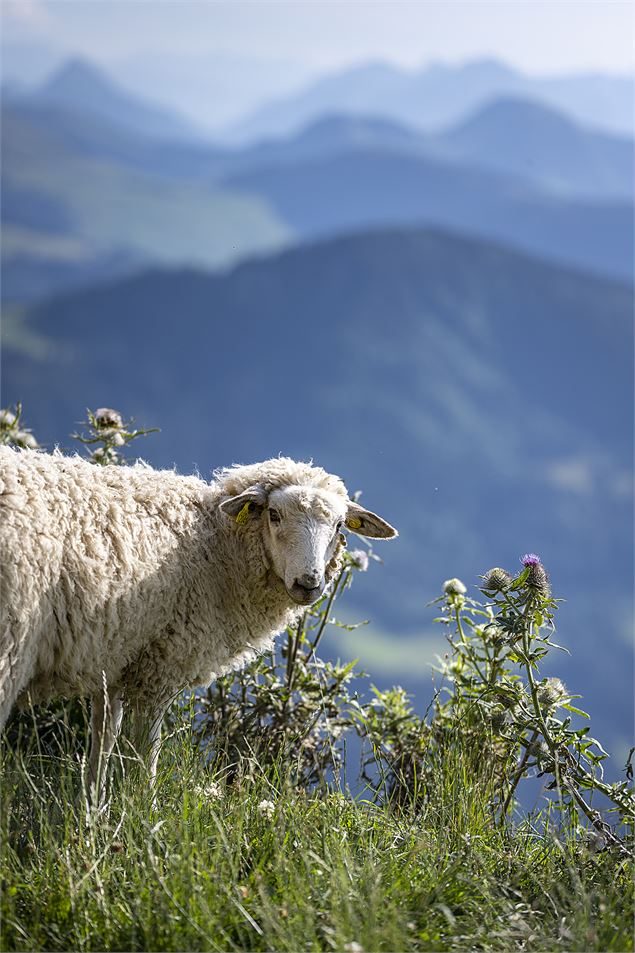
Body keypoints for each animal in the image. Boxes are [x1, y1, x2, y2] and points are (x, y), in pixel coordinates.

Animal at [0, 447, 397, 800]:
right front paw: (142, 815)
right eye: (274, 515)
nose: (308, 583)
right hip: (11, 645)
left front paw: (93, 813)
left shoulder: (116, 657)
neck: (213, 548)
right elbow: (144, 755)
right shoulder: (159, 667)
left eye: (339, 525)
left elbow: (104, 742)